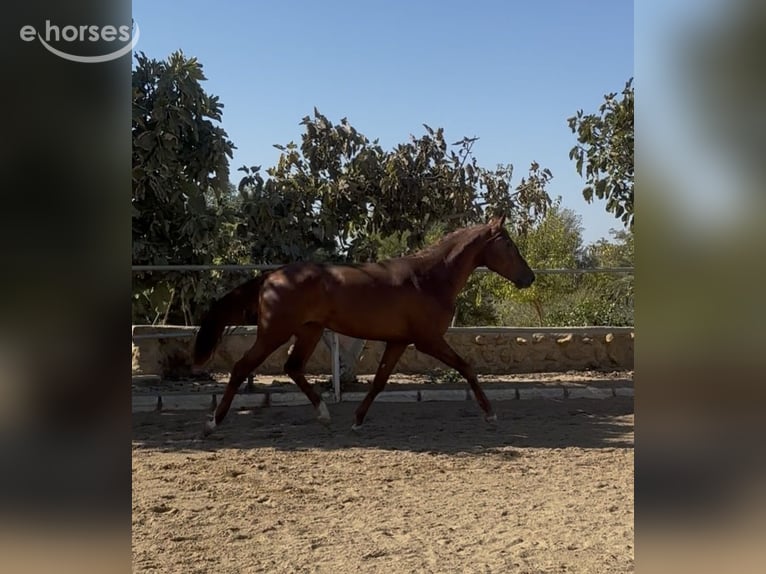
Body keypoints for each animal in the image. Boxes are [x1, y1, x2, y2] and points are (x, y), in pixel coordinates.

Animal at [192, 215, 535, 436]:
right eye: (508, 244)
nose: (528, 277)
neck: (429, 278)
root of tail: (272, 275)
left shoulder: (399, 342)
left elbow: (380, 381)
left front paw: (357, 419)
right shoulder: (429, 340)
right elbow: (467, 368)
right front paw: (490, 415)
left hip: (309, 331)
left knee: (293, 367)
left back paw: (324, 415)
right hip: (274, 332)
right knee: (242, 367)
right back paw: (212, 423)